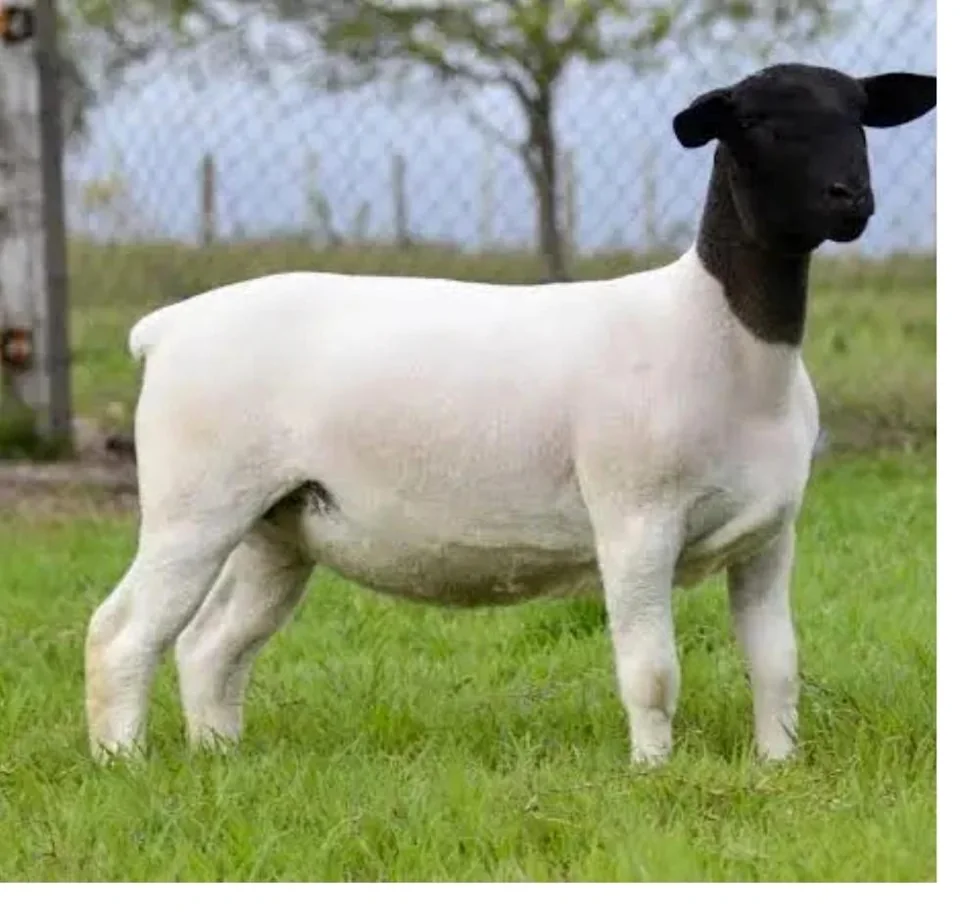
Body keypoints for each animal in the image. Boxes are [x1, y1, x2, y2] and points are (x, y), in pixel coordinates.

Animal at [84, 63, 936, 766]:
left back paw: (218, 757)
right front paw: (653, 770)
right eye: (757, 122)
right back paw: (124, 763)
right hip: (194, 504)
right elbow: (651, 668)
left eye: (860, 116)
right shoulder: (634, 518)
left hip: (280, 524)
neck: (721, 336)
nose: (852, 200)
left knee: (210, 645)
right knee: (121, 634)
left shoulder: (770, 534)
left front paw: (777, 766)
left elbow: (777, 662)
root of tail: (166, 327)